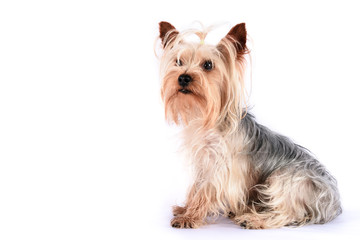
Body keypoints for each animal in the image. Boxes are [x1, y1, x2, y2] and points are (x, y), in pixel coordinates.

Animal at [157, 22, 340, 229]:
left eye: (208, 65)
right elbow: (196, 186)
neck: (208, 118)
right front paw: (186, 209)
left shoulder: (220, 167)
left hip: (287, 180)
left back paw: (253, 218)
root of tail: (333, 203)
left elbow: (206, 190)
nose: (183, 78)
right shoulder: (204, 162)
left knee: (288, 213)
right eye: (179, 62)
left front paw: (190, 216)